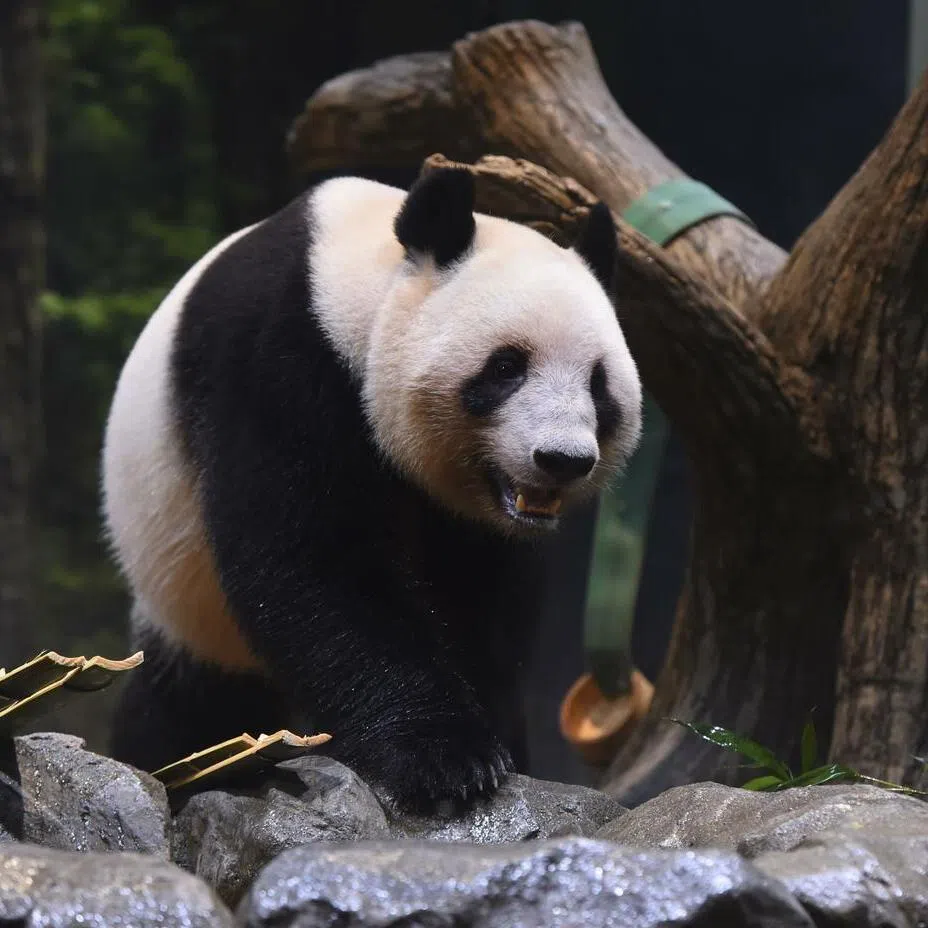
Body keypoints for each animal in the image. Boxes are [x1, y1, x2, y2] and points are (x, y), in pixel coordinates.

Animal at [101, 164, 642, 812]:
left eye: (598, 384)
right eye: (507, 366)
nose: (563, 459)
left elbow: (481, 603)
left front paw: (495, 740)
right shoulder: (280, 363)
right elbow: (310, 559)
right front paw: (446, 759)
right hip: (183, 593)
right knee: (186, 706)